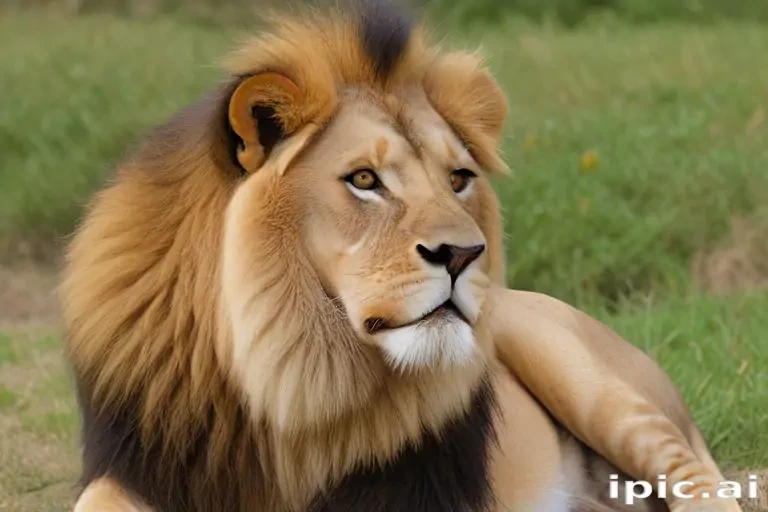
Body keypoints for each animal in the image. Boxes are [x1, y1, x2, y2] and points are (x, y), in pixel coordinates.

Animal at [61, 2, 742, 511]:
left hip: (584, 374)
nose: (464, 254)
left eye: (459, 178)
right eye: (364, 179)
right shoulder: (136, 465)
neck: (282, 372)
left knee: (697, 479)